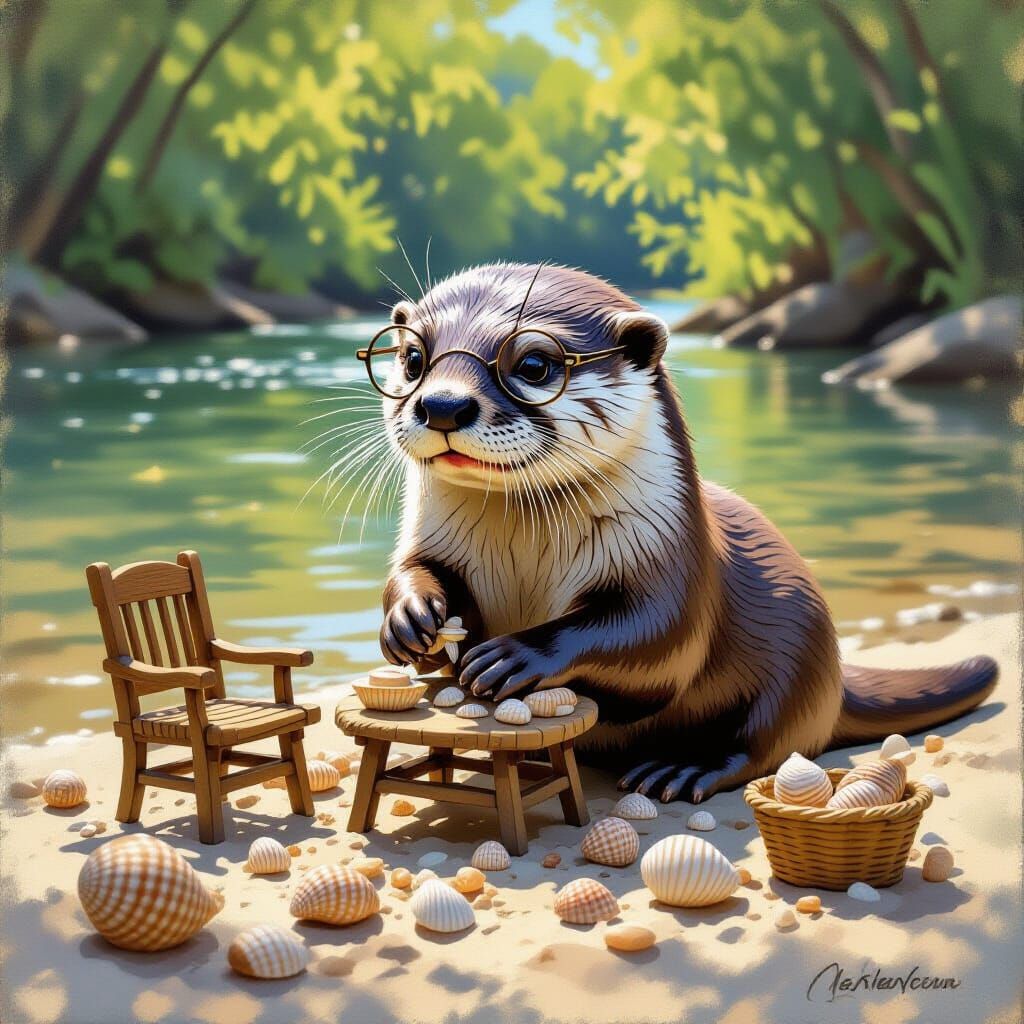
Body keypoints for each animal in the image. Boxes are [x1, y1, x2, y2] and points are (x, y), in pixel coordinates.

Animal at [369, 262, 997, 802]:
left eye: (533, 365)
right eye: (413, 357)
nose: (442, 404)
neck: (523, 556)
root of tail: (839, 678)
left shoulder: (672, 558)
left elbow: (662, 640)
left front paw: (516, 655)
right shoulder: (431, 541)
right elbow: (414, 575)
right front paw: (410, 618)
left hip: (798, 660)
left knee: (766, 743)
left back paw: (683, 768)